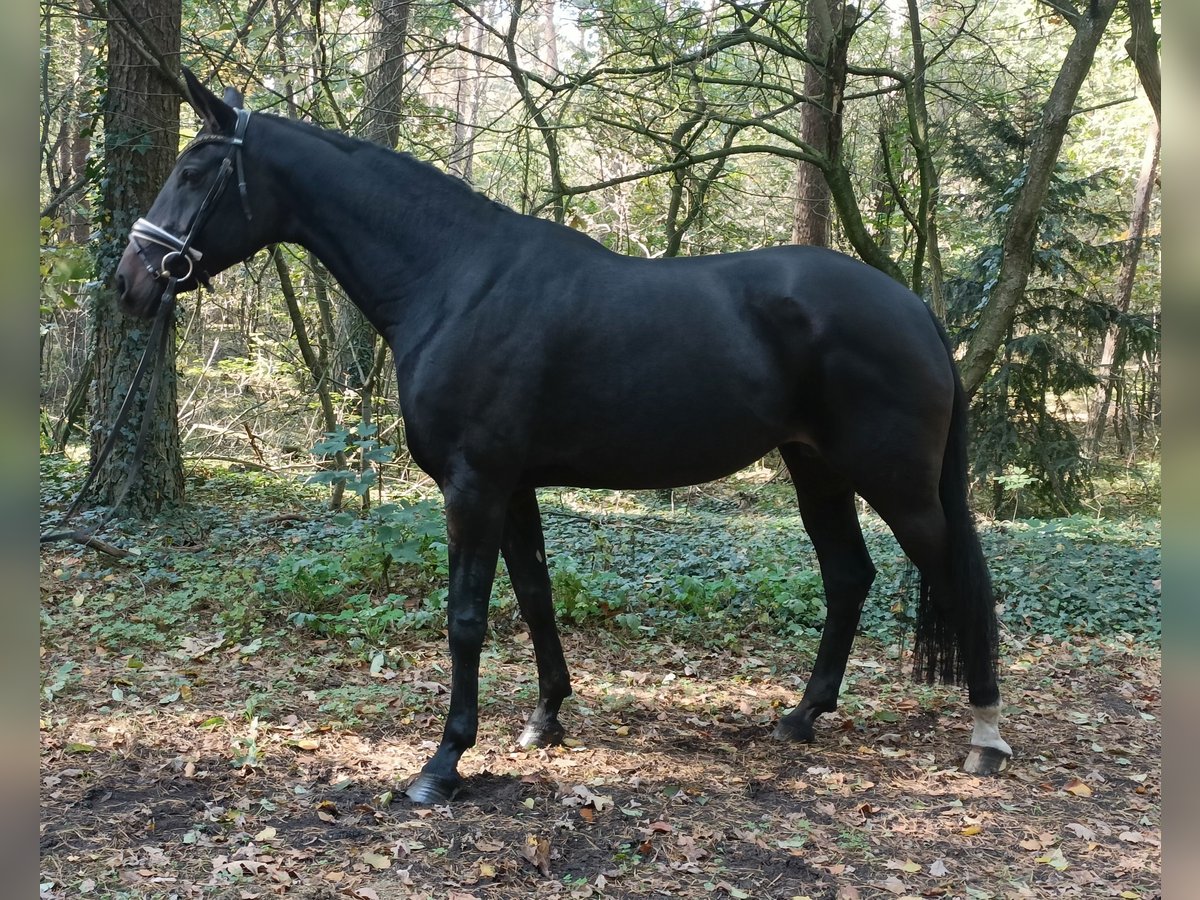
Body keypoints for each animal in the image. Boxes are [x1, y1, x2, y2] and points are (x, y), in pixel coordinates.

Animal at [114, 70, 1012, 801]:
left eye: (194, 172)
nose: (129, 282)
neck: (455, 281)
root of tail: (914, 308)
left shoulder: (474, 484)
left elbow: (467, 618)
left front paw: (443, 763)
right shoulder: (512, 486)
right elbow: (536, 595)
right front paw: (545, 718)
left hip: (896, 483)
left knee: (962, 579)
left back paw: (985, 736)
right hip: (815, 469)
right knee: (849, 576)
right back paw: (802, 716)